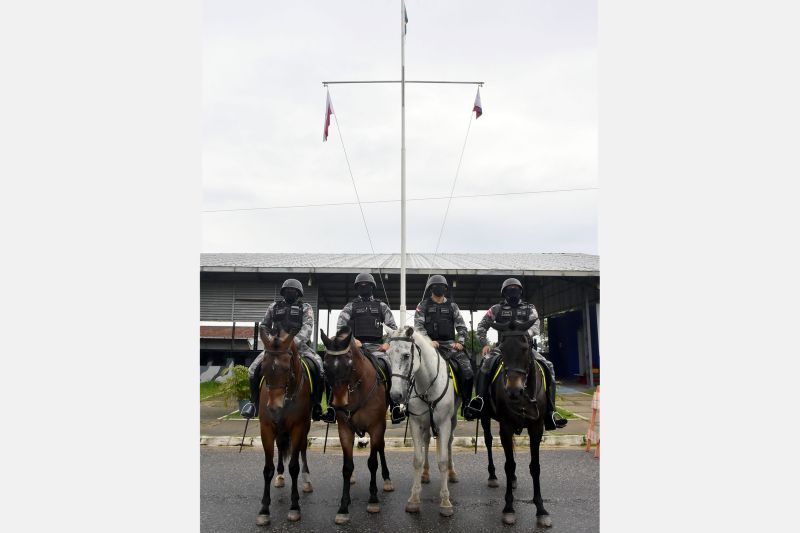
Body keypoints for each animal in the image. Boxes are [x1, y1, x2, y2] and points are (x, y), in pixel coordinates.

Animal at [255, 326, 314, 524]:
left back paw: (306, 479)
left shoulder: (298, 427)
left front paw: (295, 507)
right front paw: (264, 510)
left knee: (302, 448)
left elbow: (294, 467)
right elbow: (267, 469)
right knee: (280, 446)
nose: (274, 407)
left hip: (304, 427)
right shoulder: (266, 428)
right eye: (263, 367)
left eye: (287, 367)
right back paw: (280, 476)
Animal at [318, 324, 394, 524]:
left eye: (349, 364)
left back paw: (387, 478)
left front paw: (373, 499)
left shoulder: (376, 427)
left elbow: (372, 462)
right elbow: (346, 467)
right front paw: (343, 506)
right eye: (325, 365)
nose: (338, 403)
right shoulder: (344, 429)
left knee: (381, 448)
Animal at [384, 324, 460, 516]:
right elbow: (417, 459)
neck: (428, 385)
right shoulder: (416, 423)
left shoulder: (444, 423)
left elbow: (442, 460)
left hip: (452, 420)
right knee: (427, 441)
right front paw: (414, 499)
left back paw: (452, 472)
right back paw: (425, 475)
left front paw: (445, 502)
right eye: (388, 355)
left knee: (448, 443)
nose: (396, 395)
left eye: (406, 355)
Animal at [478, 318, 552, 524]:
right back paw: (493, 475)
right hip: (485, 417)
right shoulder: (506, 427)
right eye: (502, 348)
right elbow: (509, 465)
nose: (513, 390)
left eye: (526, 347)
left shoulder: (536, 428)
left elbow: (535, 467)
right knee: (488, 442)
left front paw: (541, 509)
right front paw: (509, 508)